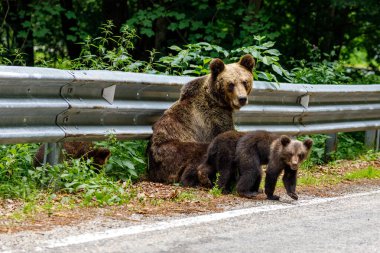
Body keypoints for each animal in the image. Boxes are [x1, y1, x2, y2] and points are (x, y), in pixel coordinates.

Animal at [148, 54, 255, 186]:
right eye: (230, 84)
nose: (242, 99)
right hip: (175, 150)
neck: (219, 100)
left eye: (245, 82)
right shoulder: (215, 118)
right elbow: (227, 135)